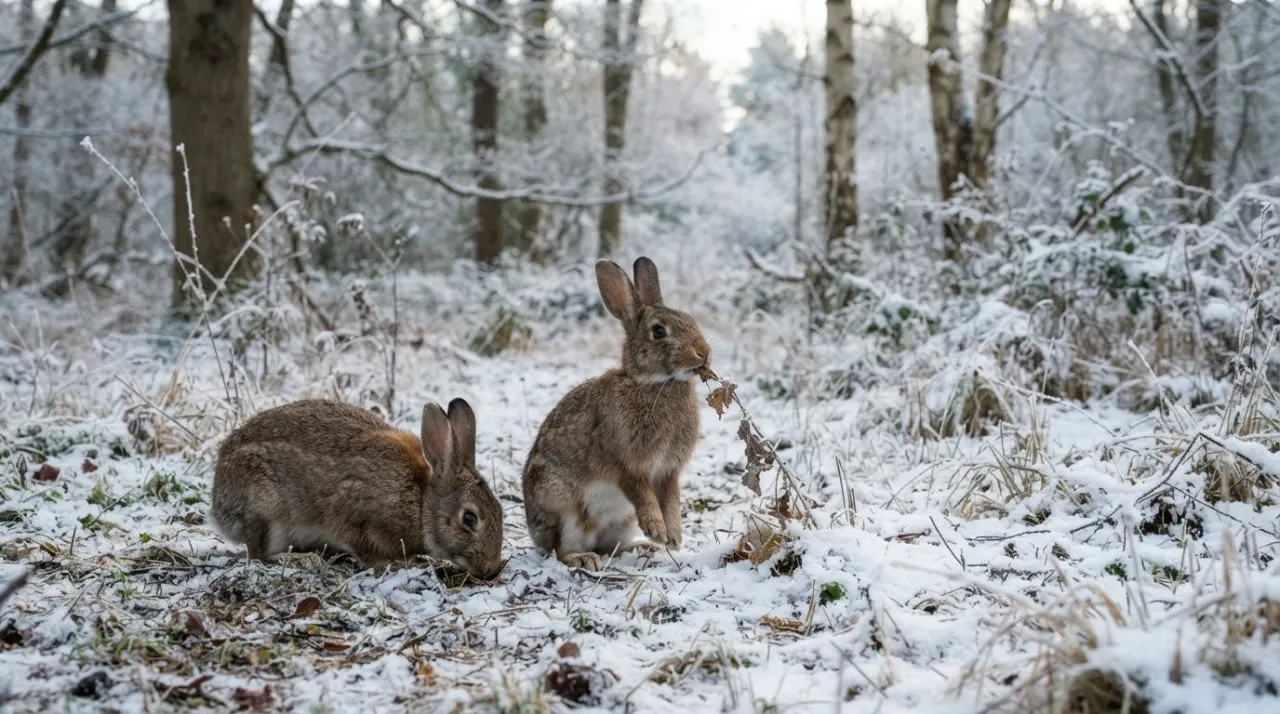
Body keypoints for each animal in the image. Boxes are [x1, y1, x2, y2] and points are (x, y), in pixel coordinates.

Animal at [209, 397, 505, 580]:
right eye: (469, 519)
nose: (491, 569)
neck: (421, 502)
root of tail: (218, 510)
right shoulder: (354, 514)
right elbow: (364, 549)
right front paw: (397, 563)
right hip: (266, 509)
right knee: (258, 552)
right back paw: (301, 559)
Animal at [521, 256, 711, 571]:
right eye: (659, 331)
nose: (703, 352)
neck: (653, 383)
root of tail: (537, 536)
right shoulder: (627, 465)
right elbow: (642, 494)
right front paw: (657, 529)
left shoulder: (668, 471)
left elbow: (671, 500)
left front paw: (672, 537)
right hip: (565, 508)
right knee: (562, 550)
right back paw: (584, 558)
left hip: (621, 521)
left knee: (611, 547)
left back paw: (644, 547)